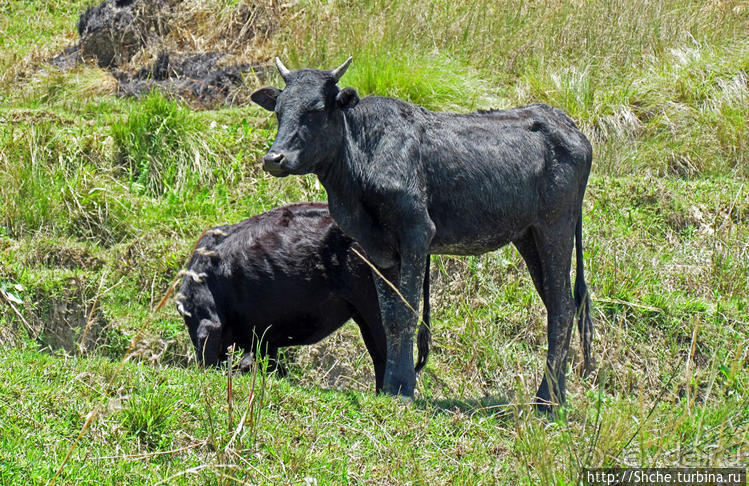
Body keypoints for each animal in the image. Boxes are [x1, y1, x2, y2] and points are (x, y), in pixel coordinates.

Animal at [254, 56, 592, 410]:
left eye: (316, 109)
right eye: (278, 110)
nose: (274, 158)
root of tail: (569, 126)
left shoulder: (417, 232)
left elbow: (408, 311)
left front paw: (404, 387)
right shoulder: (377, 247)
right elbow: (390, 316)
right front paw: (390, 386)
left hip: (556, 227)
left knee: (563, 308)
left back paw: (547, 401)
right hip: (528, 236)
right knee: (561, 305)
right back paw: (557, 396)